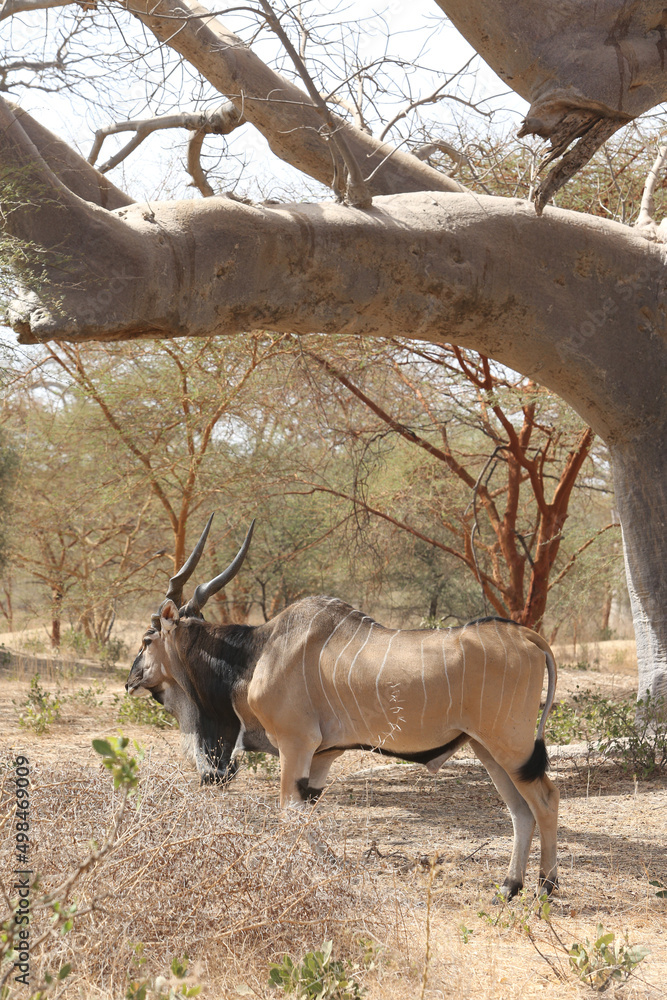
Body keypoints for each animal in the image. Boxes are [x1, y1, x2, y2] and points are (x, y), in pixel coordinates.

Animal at [126, 516, 559, 898]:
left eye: (148, 639)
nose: (130, 681)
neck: (258, 652)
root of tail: (527, 636)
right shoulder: (321, 757)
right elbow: (304, 813)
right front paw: (330, 866)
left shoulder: (295, 745)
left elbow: (288, 812)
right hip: (487, 750)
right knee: (520, 811)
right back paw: (508, 887)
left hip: (510, 747)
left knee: (545, 799)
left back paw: (545, 887)